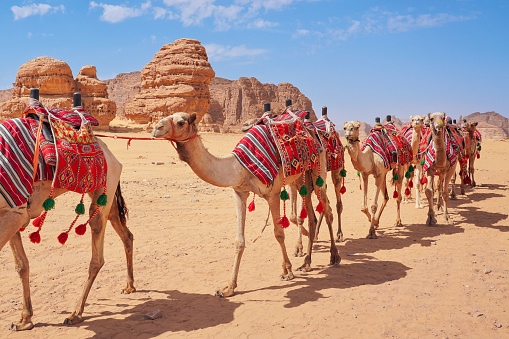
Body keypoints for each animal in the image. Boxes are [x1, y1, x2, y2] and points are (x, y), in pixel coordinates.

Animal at [153, 111, 340, 298]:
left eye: (181, 122)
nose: (156, 128)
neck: (240, 168)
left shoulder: (273, 194)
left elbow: (279, 234)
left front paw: (287, 271)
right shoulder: (239, 192)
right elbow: (239, 241)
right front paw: (228, 288)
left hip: (318, 168)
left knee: (327, 210)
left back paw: (334, 256)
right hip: (303, 177)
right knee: (311, 215)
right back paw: (307, 262)